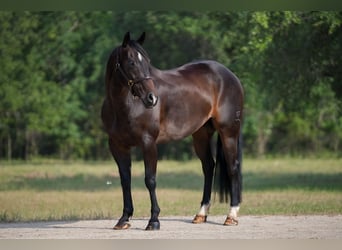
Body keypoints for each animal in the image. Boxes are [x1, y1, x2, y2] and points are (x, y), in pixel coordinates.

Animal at [101, 32, 243, 231]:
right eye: (131, 62)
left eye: (147, 61)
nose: (152, 98)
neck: (125, 106)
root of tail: (229, 75)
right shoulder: (118, 146)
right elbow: (125, 181)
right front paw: (124, 219)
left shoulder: (148, 143)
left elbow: (150, 180)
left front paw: (154, 220)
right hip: (201, 135)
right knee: (209, 167)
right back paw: (201, 214)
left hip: (229, 131)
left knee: (233, 167)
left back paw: (231, 216)